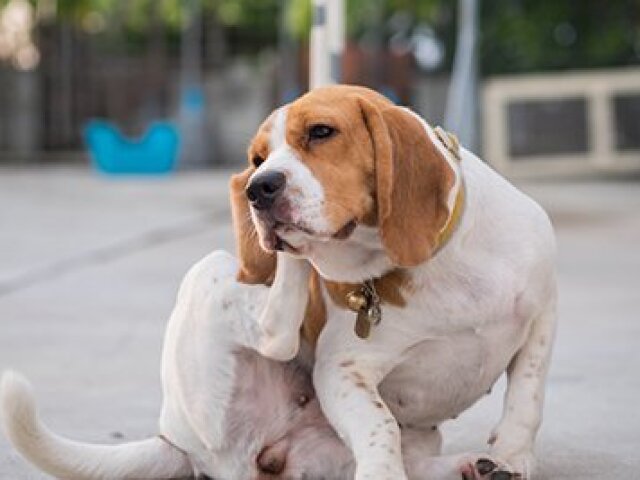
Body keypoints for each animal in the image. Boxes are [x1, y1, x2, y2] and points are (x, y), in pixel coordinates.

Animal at [232, 86, 556, 480]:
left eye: (320, 131)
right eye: (257, 158)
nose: (257, 187)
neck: (437, 262)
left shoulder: (543, 314)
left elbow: (528, 395)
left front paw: (513, 454)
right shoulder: (343, 369)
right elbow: (381, 424)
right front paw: (382, 470)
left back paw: (476, 466)